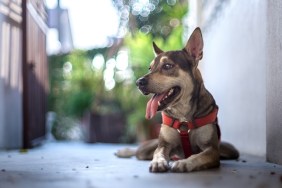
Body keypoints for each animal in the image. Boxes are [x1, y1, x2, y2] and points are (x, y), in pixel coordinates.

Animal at [115, 27, 239, 173]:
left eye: (167, 66)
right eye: (150, 68)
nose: (138, 82)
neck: (183, 113)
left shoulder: (212, 149)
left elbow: (199, 156)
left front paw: (184, 163)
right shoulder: (163, 144)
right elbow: (158, 153)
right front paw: (158, 162)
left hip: (230, 150)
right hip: (148, 148)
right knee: (139, 150)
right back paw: (123, 151)